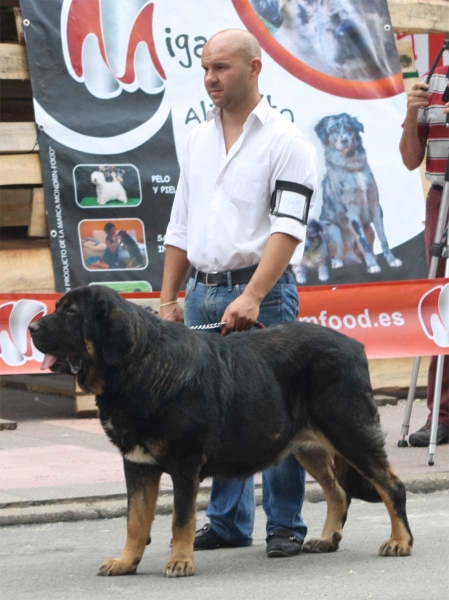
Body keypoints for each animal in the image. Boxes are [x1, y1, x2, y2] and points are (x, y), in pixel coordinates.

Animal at [29, 286, 412, 576]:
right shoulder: (137, 464)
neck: (137, 366)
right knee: (338, 492)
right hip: (308, 446)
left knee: (391, 485)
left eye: (69, 313)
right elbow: (135, 520)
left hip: (349, 431)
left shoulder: (185, 465)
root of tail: (356, 346)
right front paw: (126, 562)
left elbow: (181, 519)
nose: (32, 328)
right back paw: (328, 539)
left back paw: (400, 541)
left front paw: (180, 562)